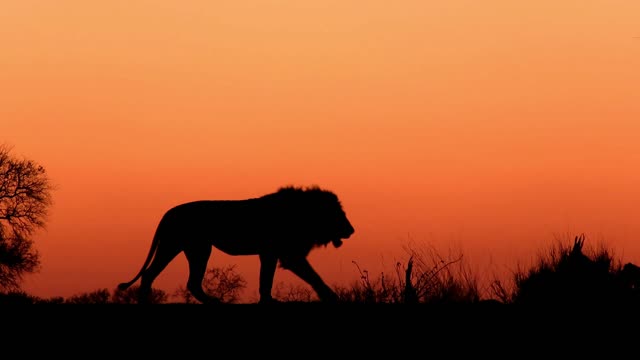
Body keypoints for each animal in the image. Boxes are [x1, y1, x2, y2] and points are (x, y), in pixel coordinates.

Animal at [119, 186, 356, 304]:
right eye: (338, 213)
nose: (351, 230)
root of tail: (168, 212)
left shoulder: (269, 253)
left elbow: (266, 279)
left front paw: (268, 300)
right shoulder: (287, 254)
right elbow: (313, 276)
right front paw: (331, 297)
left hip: (189, 247)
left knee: (184, 281)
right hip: (187, 246)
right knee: (154, 274)